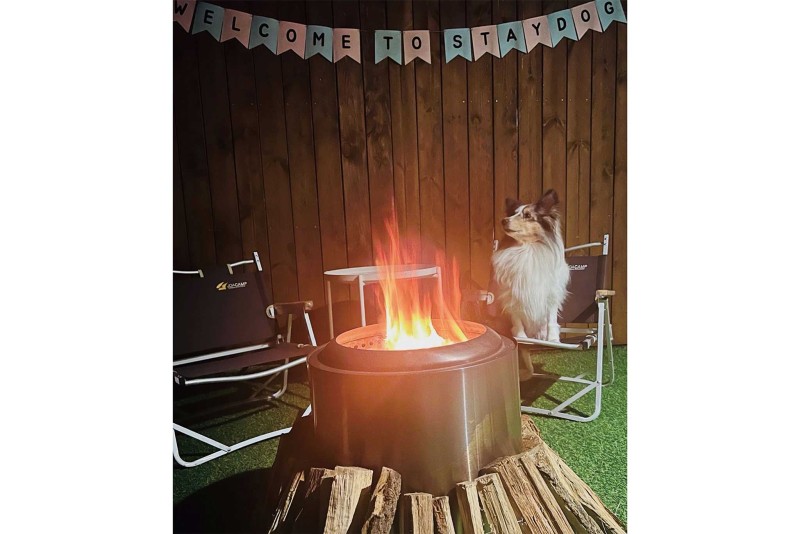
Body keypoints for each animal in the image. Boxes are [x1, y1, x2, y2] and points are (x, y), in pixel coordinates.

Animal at [491, 189, 569, 345]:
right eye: (512, 213)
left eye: (527, 215)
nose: (504, 220)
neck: (527, 247)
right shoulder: (511, 294)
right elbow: (517, 319)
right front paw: (521, 337)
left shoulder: (551, 294)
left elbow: (551, 321)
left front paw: (553, 339)